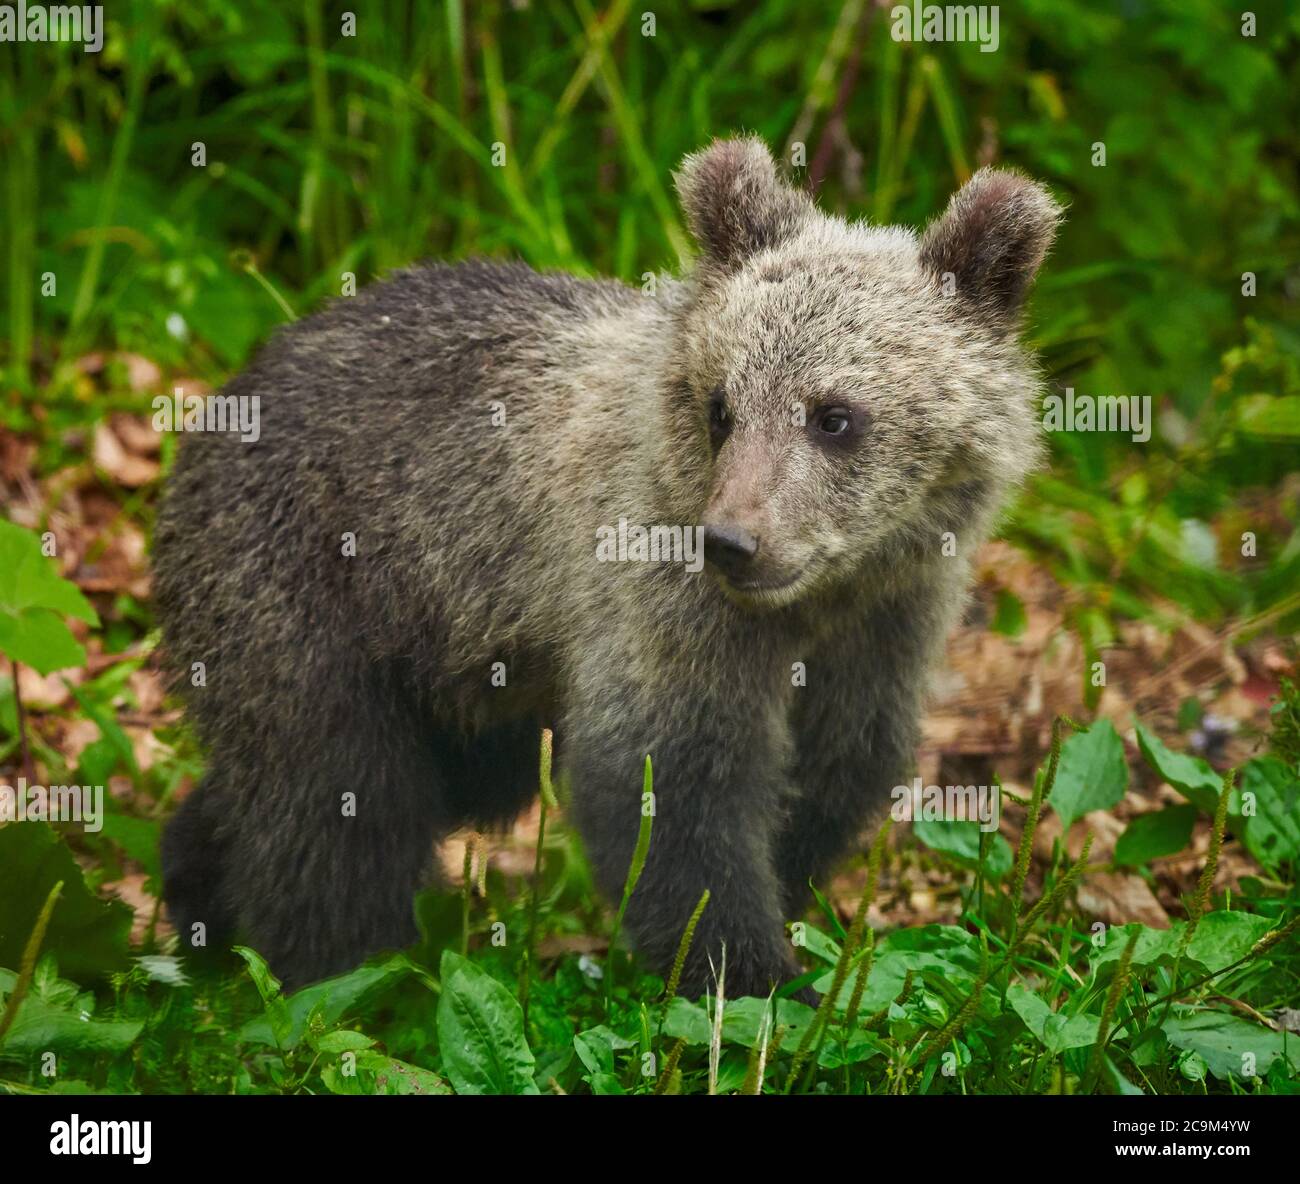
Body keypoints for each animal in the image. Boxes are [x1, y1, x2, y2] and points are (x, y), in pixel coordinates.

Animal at [154, 136, 1061, 998]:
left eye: (834, 415)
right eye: (721, 406)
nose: (732, 541)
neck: (820, 596)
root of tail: (226, 396)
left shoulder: (890, 617)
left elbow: (835, 769)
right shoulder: (658, 594)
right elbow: (673, 786)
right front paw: (749, 976)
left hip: (462, 670)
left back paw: (200, 894)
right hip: (305, 584)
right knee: (336, 801)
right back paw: (339, 977)